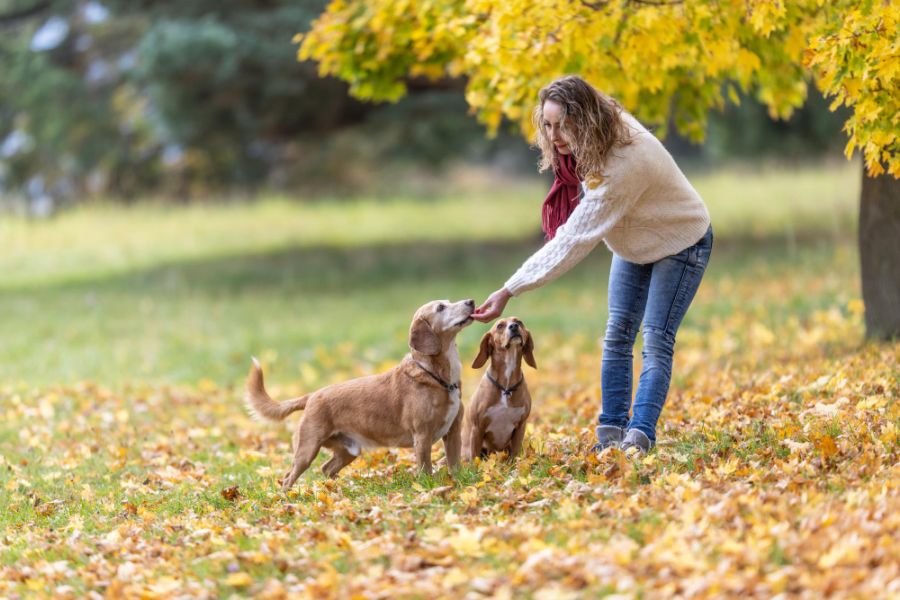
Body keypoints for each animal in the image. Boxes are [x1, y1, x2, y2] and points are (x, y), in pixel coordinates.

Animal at [243, 298, 474, 490]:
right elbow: (426, 470)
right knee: (288, 477)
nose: (471, 301)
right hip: (307, 450)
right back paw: (287, 498)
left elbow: (455, 464)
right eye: (441, 307)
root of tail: (311, 396)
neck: (436, 377)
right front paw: (428, 488)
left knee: (326, 469)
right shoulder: (422, 437)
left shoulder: (453, 432)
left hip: (348, 451)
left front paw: (459, 482)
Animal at [464, 316, 536, 462]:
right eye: (500, 326)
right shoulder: (477, 428)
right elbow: (475, 457)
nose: (514, 326)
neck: (506, 388)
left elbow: (514, 454)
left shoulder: (520, 427)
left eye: (519, 322)